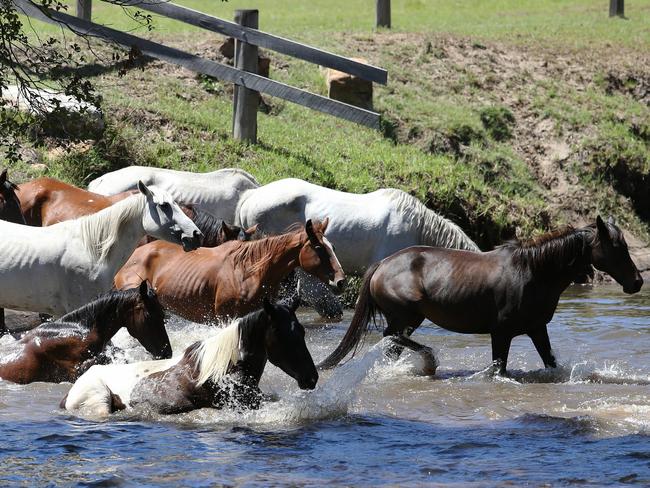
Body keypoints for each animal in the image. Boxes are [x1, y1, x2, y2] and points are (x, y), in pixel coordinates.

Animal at [316, 216, 640, 374]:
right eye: (617, 247)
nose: (636, 282)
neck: (532, 272)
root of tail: (382, 264)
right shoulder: (502, 333)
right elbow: (498, 369)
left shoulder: (537, 329)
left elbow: (550, 363)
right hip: (407, 316)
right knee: (391, 338)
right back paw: (430, 361)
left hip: (408, 319)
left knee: (391, 345)